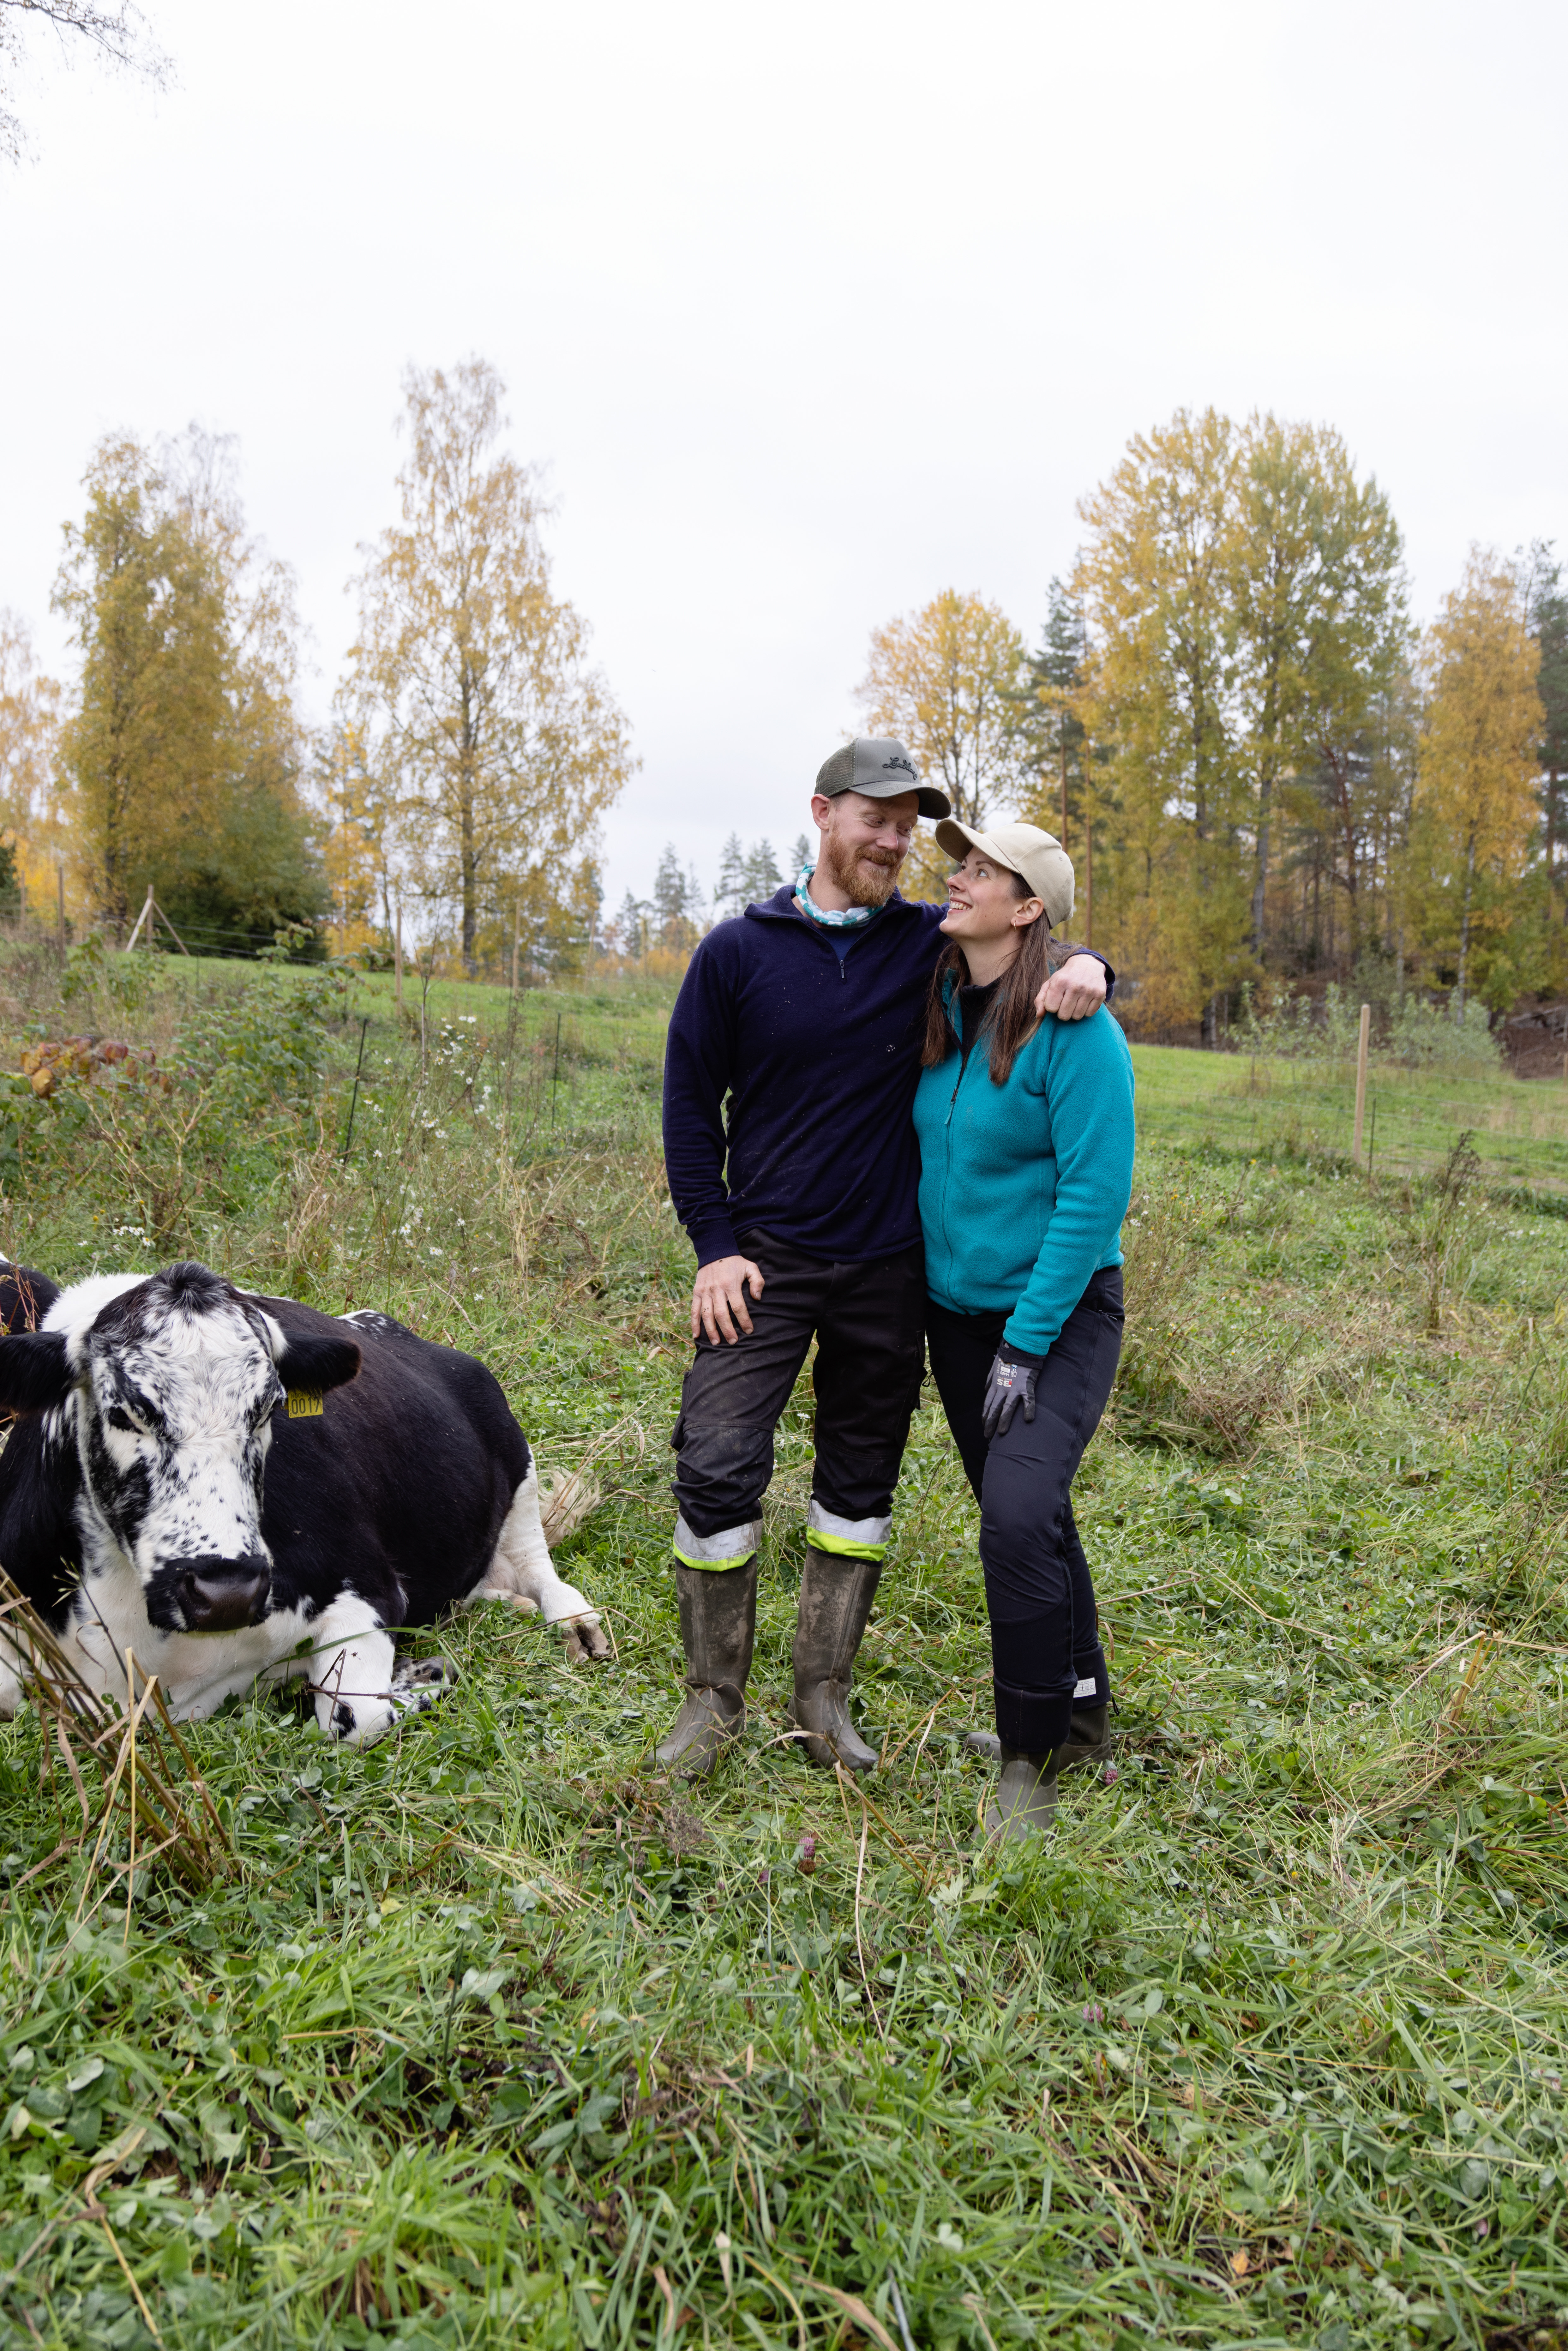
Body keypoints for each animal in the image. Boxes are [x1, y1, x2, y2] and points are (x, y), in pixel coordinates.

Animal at [0, 1269, 606, 1749]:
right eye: (124, 1412)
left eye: (269, 1407)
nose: (226, 1591)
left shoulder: (367, 1586)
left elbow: (359, 1716)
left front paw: (424, 1673)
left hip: (515, 1455)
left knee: (536, 1562)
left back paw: (572, 1622)